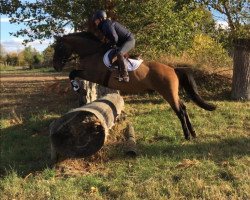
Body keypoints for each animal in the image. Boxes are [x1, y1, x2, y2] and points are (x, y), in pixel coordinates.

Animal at [53, 31, 217, 141]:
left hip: (168, 93)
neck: (92, 52)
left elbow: (73, 73)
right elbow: (74, 73)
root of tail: (173, 69)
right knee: (183, 107)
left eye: (59, 47)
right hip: (172, 93)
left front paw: (75, 86)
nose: (55, 66)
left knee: (180, 111)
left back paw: (187, 135)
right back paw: (193, 133)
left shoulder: (93, 75)